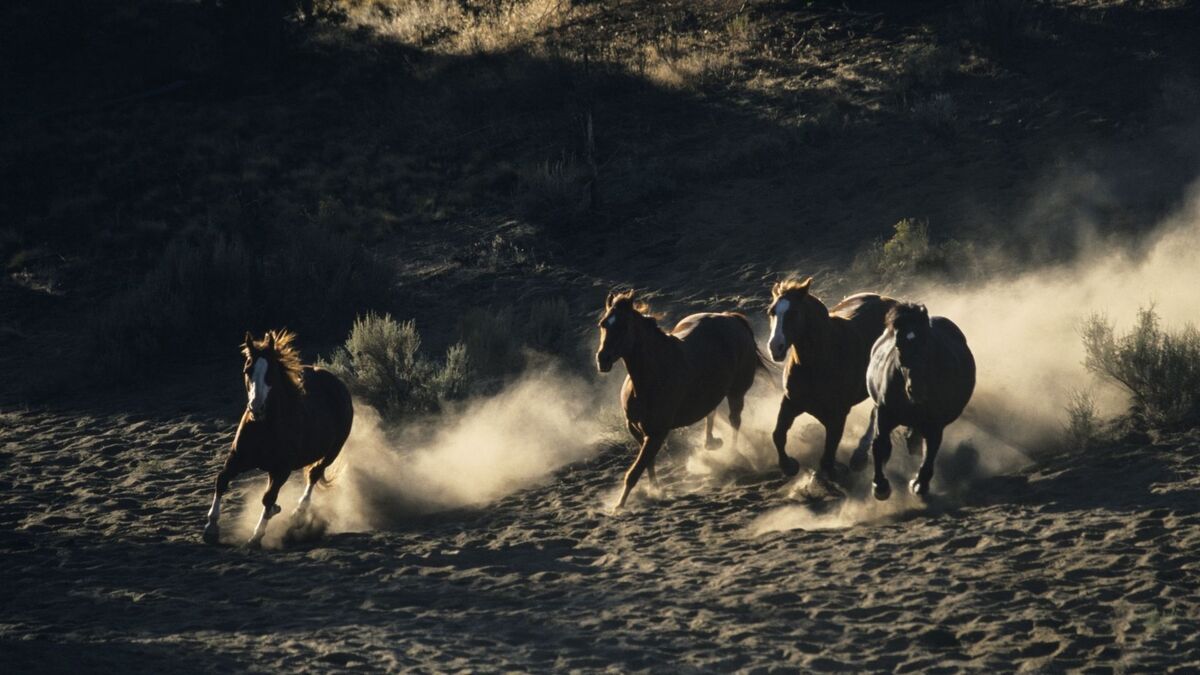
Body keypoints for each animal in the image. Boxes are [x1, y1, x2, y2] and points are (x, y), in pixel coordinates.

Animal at [200, 329, 350, 542]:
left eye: (270, 373)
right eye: (247, 371)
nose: (256, 408)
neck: (265, 428)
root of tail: (338, 384)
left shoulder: (282, 469)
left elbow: (268, 497)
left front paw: (257, 535)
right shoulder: (237, 458)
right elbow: (221, 481)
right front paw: (211, 528)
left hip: (332, 452)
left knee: (313, 475)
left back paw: (298, 514)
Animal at [592, 289, 768, 509]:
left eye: (624, 326)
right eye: (603, 324)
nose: (602, 359)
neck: (650, 378)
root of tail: (731, 318)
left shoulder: (657, 433)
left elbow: (635, 471)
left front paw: (618, 506)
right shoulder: (635, 428)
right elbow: (647, 463)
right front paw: (654, 489)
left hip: (736, 391)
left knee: (735, 421)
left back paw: (733, 455)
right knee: (712, 413)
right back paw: (711, 443)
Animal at [763, 277, 897, 478]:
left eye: (794, 313)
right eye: (772, 312)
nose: (775, 347)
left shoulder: (837, 417)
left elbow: (827, 458)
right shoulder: (791, 402)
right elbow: (778, 435)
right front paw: (788, 465)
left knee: (876, 414)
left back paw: (860, 455)